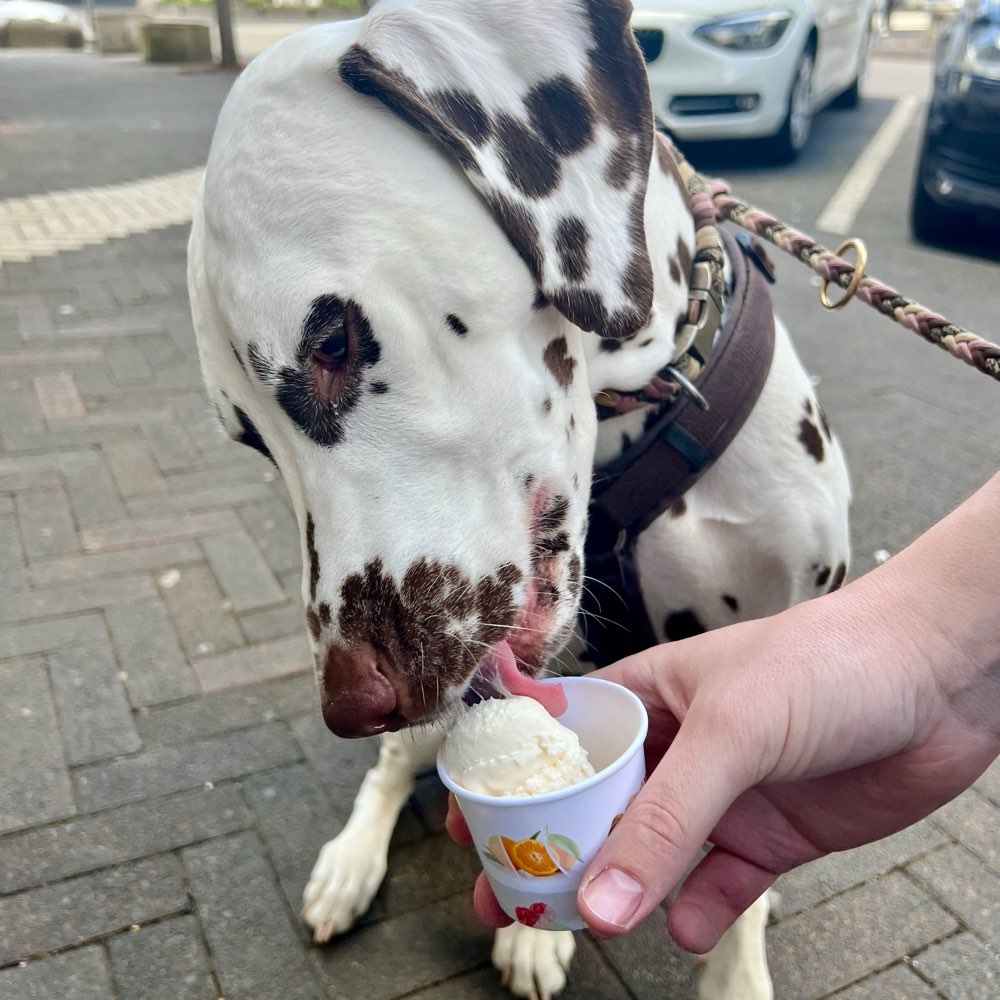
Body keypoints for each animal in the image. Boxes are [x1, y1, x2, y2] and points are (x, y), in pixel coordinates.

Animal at [189, 1, 852, 1000]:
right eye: (247, 438)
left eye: (332, 339)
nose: (352, 702)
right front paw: (536, 936)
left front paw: (737, 963)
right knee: (393, 773)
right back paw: (352, 861)